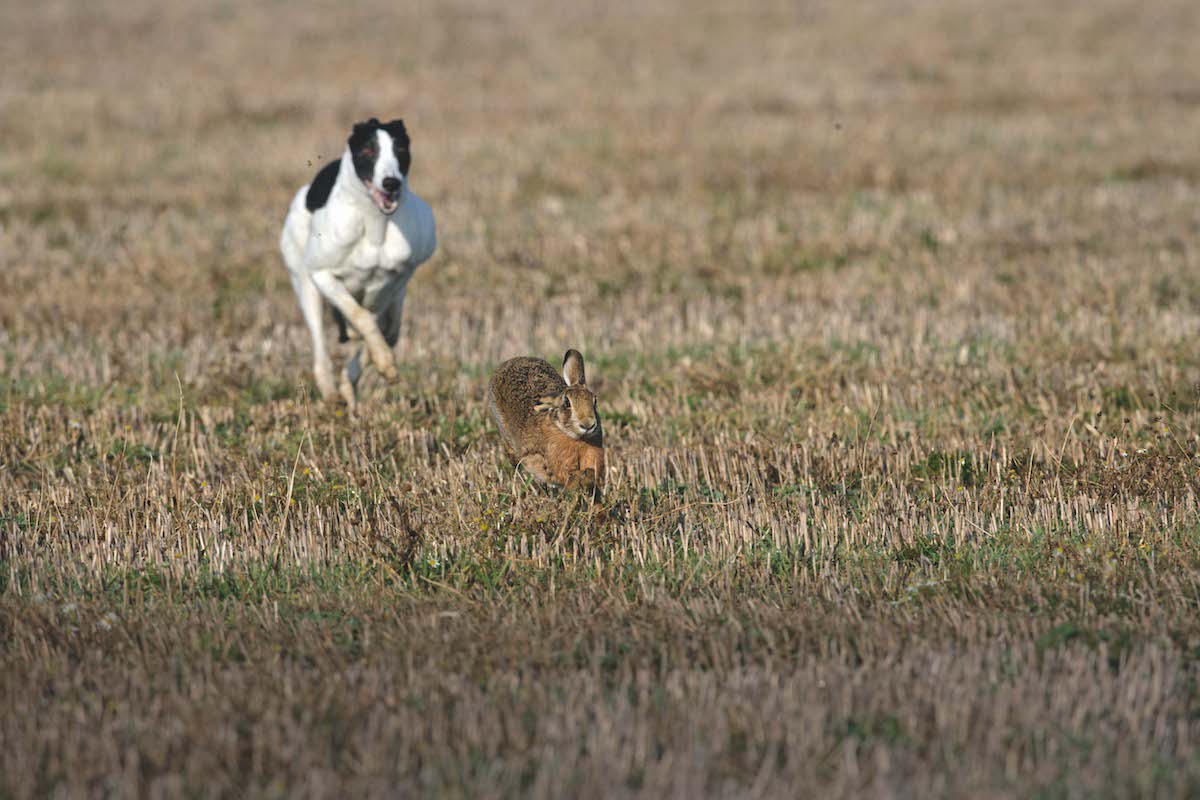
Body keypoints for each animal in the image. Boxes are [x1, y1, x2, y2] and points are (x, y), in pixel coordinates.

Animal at [279, 115, 436, 407]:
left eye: (400, 149)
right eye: (368, 150)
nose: (391, 183)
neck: (374, 225)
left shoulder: (397, 279)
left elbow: (378, 327)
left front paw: (379, 366)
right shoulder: (322, 275)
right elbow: (361, 316)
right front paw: (383, 361)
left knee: (388, 329)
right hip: (305, 286)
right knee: (321, 344)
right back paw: (331, 393)